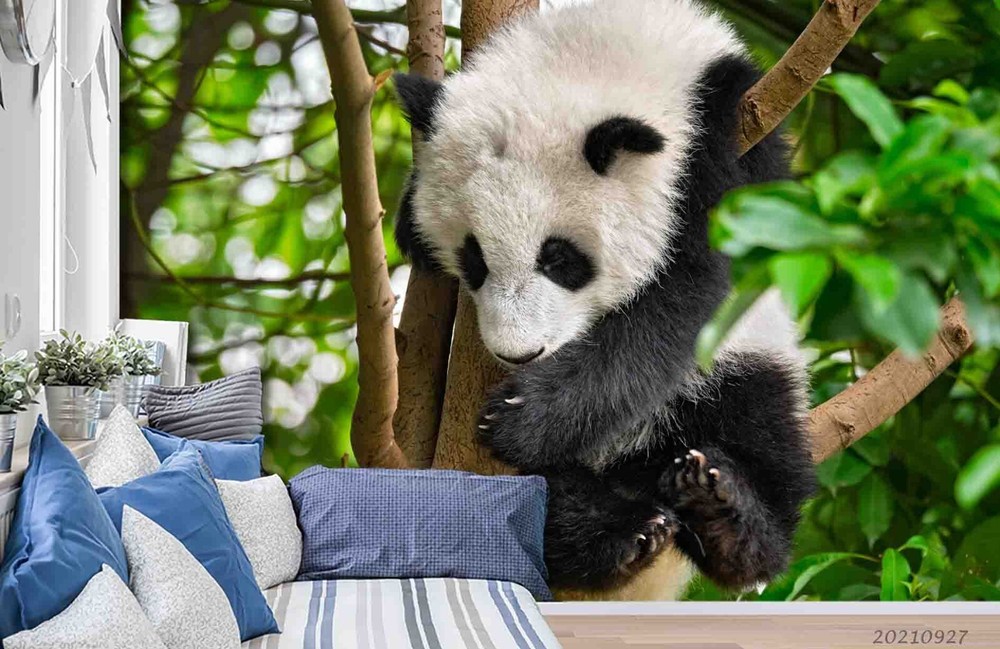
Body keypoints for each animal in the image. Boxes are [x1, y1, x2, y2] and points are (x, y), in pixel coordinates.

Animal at [393, 0, 817, 597]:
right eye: (474, 259)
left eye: (559, 259)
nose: (518, 354)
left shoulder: (730, 134)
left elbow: (687, 298)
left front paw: (524, 418)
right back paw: (616, 532)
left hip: (747, 372)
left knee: (765, 442)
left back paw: (725, 517)